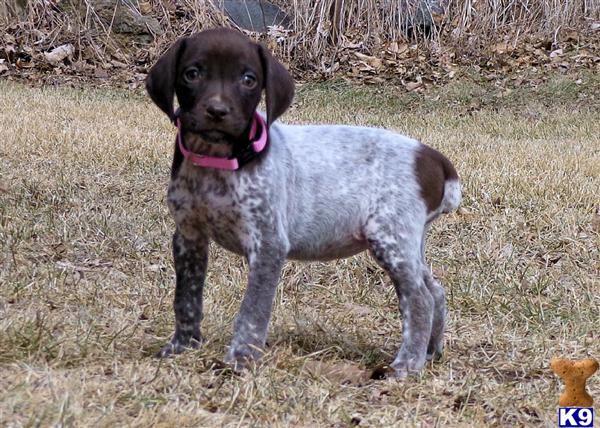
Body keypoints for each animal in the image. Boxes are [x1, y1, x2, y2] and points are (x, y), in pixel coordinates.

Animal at [144, 26, 460, 378]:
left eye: (248, 79)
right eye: (192, 74)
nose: (217, 111)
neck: (217, 162)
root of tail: (432, 158)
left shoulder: (268, 244)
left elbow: (252, 311)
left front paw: (242, 359)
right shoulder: (189, 237)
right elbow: (186, 298)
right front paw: (182, 347)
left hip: (390, 238)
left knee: (420, 300)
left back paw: (407, 364)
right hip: (408, 243)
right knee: (435, 290)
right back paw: (431, 351)